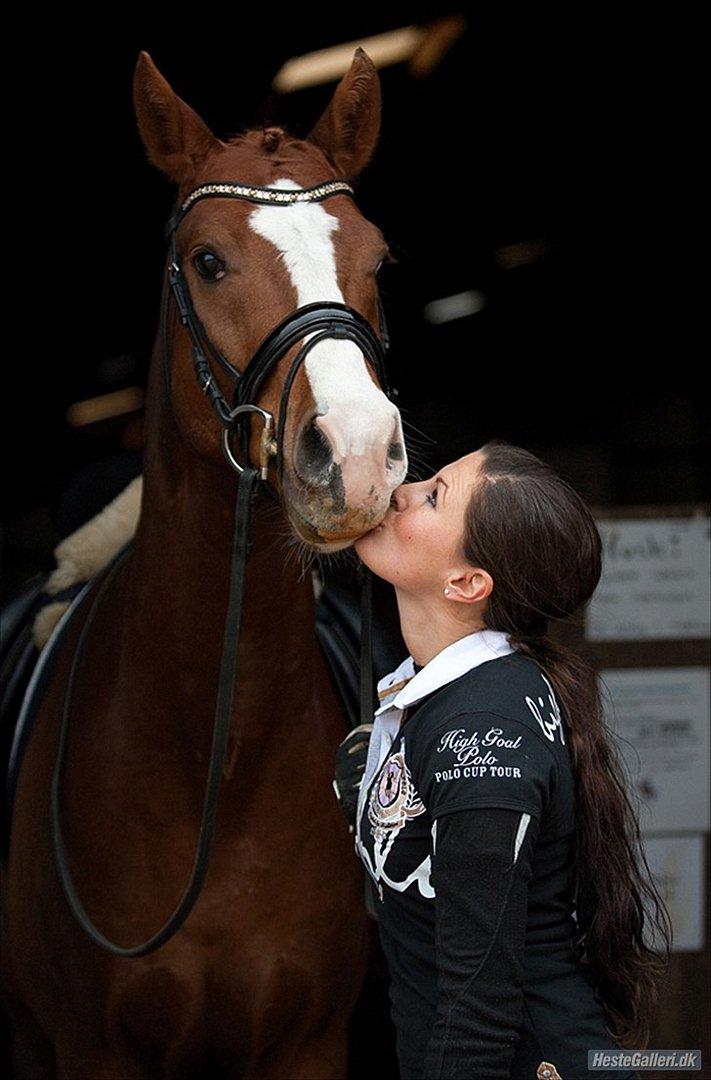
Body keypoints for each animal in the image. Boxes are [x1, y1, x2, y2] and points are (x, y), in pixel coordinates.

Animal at [1, 50, 404, 1080]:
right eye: (207, 261)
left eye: (378, 260)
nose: (355, 455)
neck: (216, 764)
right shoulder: (93, 1049)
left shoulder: (308, 1045)